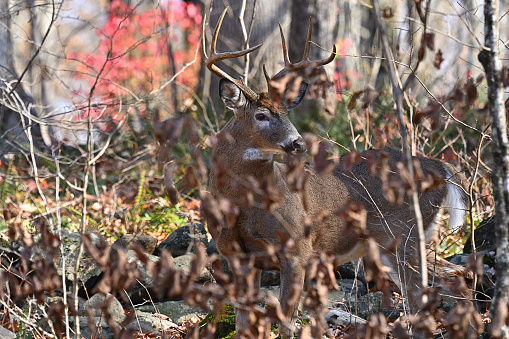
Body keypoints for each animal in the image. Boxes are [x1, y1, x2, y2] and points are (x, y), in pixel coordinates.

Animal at [200, 8, 466, 339]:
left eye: (286, 113)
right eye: (261, 115)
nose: (298, 142)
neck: (245, 204)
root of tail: (440, 167)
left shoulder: (298, 247)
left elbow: (286, 320)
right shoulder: (235, 254)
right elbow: (243, 322)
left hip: (404, 234)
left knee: (425, 295)